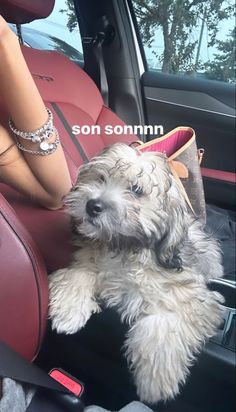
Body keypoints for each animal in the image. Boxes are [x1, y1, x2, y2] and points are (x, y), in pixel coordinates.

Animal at [48, 143, 224, 404]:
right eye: (100, 178)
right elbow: (77, 275)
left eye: (136, 190)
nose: (93, 205)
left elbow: (164, 326)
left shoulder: (191, 298)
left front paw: (154, 382)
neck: (122, 246)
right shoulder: (85, 261)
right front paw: (68, 312)